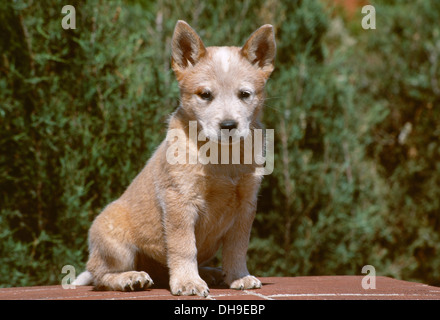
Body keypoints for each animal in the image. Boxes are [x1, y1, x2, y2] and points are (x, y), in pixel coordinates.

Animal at [74, 19, 276, 298]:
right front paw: (188, 282)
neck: (221, 159)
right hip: (115, 244)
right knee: (100, 276)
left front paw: (238, 276)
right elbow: (184, 247)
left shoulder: (246, 204)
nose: (228, 125)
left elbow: (237, 247)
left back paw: (211, 273)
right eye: (205, 95)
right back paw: (130, 278)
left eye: (245, 94)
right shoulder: (179, 201)